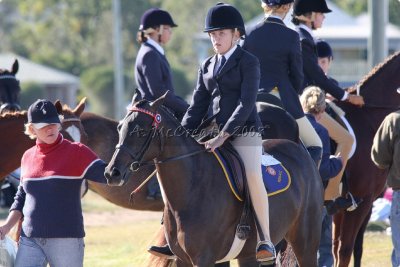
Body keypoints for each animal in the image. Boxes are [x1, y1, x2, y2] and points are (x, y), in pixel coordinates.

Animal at [104, 95, 324, 266]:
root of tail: (301, 150)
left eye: (141, 129)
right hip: (250, 254)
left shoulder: (204, 258)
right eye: (120, 127)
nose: (111, 173)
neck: (191, 189)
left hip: (305, 244)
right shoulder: (183, 259)